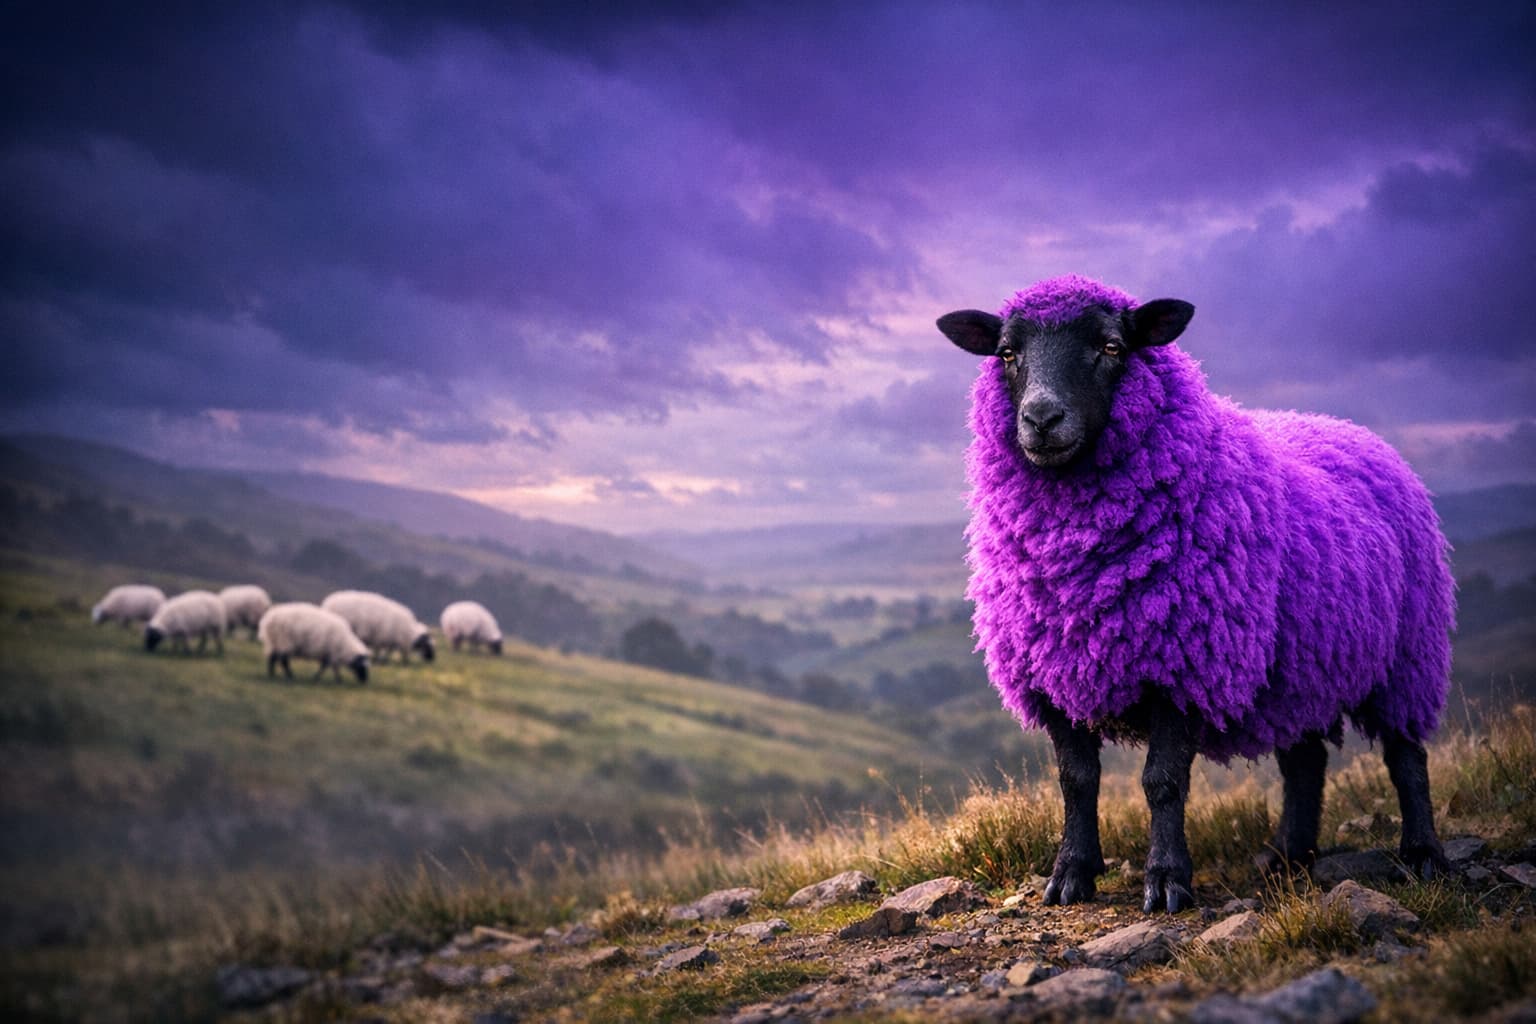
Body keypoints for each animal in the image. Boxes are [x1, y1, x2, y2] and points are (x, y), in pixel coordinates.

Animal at [938, 274, 1454, 913]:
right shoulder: (1051, 670)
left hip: (1407, 653)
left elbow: (1162, 782)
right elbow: (1076, 781)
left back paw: (1423, 854)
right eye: (1007, 353)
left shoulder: (1186, 663)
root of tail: (1345, 426)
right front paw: (1071, 874)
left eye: (1112, 346)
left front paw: (1166, 881)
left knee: (1407, 756)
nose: (1040, 418)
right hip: (1302, 664)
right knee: (1304, 760)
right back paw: (1288, 856)